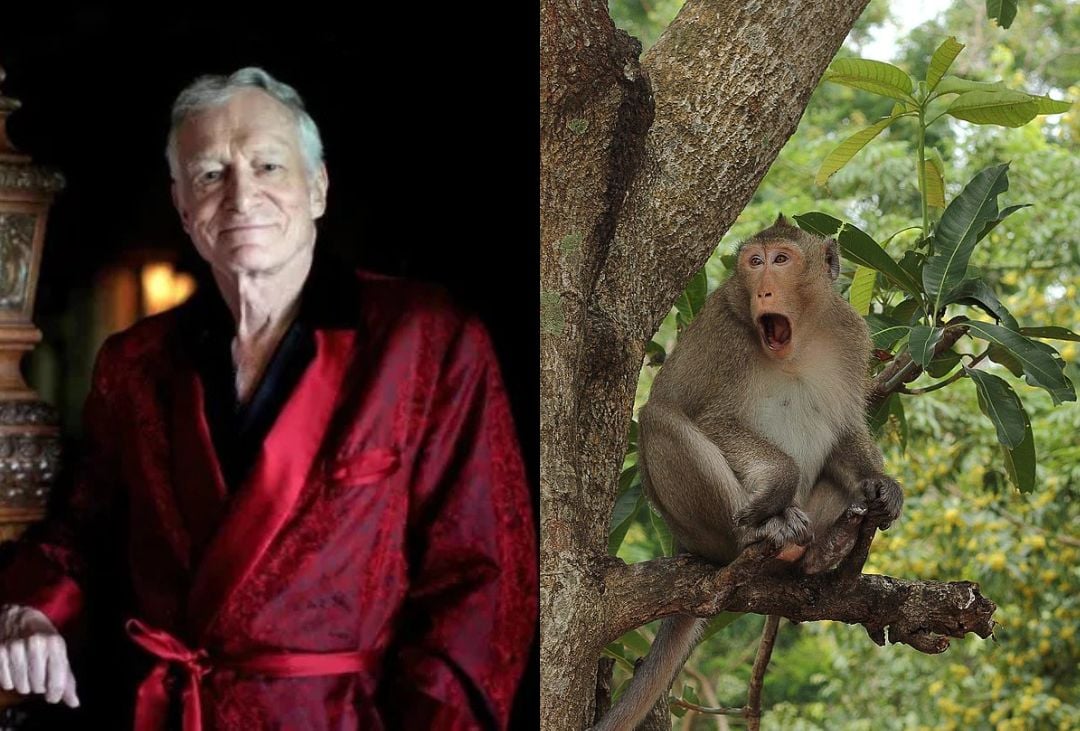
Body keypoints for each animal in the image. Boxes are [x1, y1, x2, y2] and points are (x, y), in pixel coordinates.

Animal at [594, 215, 903, 731]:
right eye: (754, 262)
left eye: (781, 259)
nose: (763, 290)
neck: (796, 344)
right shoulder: (726, 340)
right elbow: (712, 420)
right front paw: (777, 484)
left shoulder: (851, 335)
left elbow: (844, 430)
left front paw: (882, 485)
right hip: (702, 531)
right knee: (659, 421)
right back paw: (761, 531)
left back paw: (822, 551)